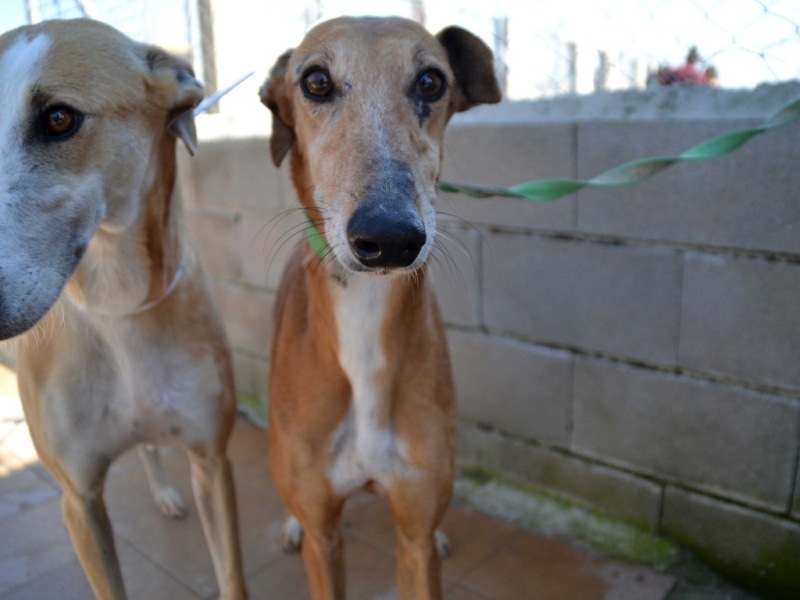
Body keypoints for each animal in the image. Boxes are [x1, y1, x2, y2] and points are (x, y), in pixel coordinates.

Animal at [262, 15, 496, 600]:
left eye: (431, 82)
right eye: (315, 81)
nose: (389, 237)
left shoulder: (414, 526)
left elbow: (422, 537)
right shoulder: (325, 536)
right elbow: (316, 529)